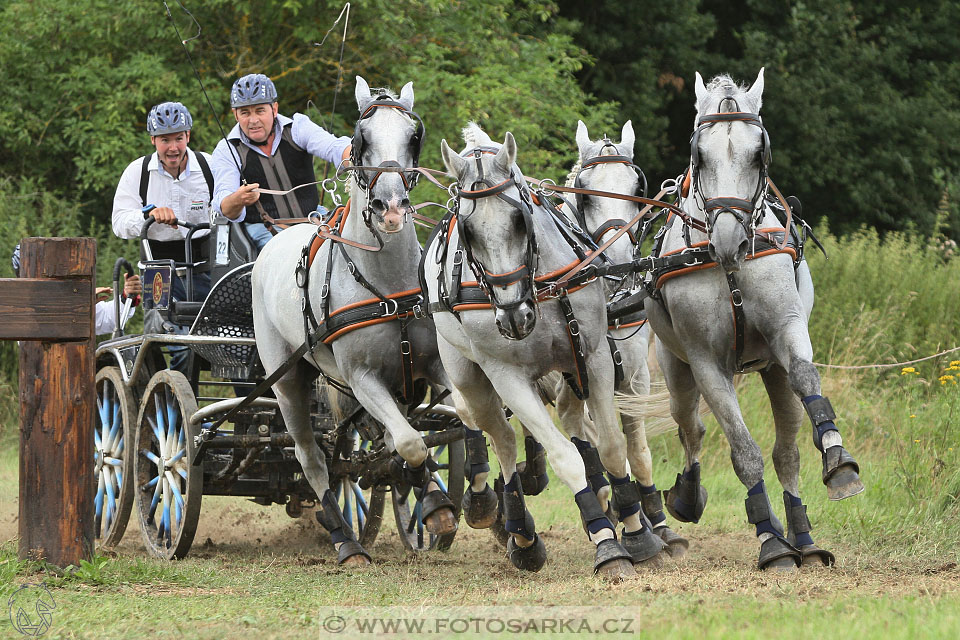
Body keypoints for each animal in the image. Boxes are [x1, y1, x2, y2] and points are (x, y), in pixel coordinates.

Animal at [249, 76, 456, 564]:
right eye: (361, 138)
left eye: (413, 136)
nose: (391, 207)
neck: (387, 285)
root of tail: (279, 236)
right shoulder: (363, 377)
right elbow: (410, 442)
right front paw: (420, 490)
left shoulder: (428, 369)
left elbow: (447, 426)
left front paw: (435, 501)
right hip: (288, 381)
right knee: (312, 456)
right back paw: (343, 538)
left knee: (349, 444)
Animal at [424, 122, 664, 576]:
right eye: (467, 231)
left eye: (521, 220)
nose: (514, 316)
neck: (541, 285)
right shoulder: (507, 376)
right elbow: (565, 456)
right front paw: (607, 542)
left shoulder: (600, 361)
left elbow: (616, 448)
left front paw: (640, 530)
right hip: (469, 374)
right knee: (497, 435)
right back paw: (514, 527)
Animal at [644, 70, 864, 568]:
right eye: (699, 155)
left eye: (757, 152)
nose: (729, 241)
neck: (729, 267)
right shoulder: (706, 363)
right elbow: (743, 452)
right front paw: (769, 542)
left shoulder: (787, 329)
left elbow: (806, 378)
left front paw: (838, 460)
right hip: (677, 370)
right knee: (691, 428)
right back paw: (691, 497)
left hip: (770, 372)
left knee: (786, 454)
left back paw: (803, 537)